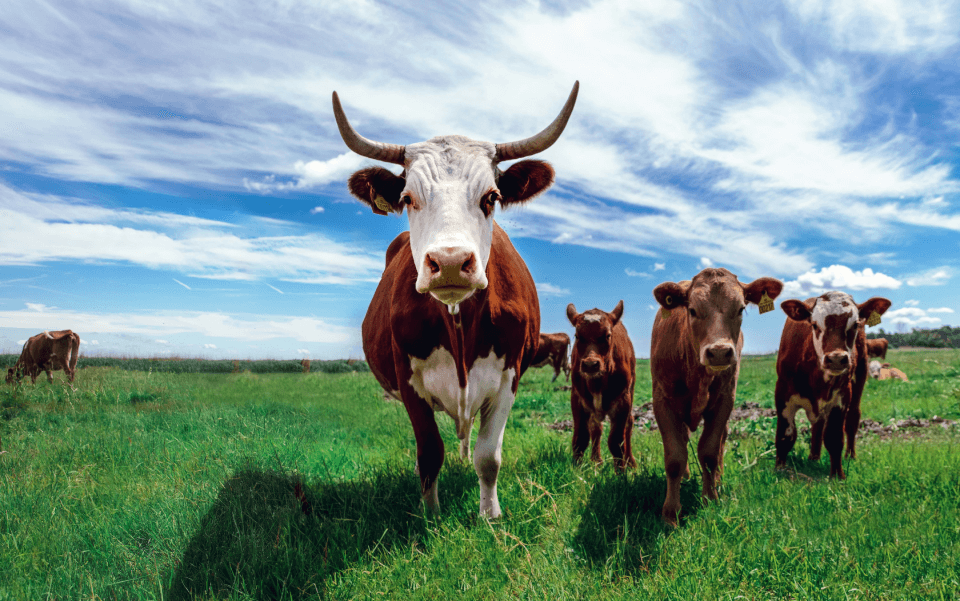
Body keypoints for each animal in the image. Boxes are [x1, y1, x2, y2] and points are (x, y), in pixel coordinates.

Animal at [334, 83, 576, 516]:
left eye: (491, 197)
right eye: (408, 198)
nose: (448, 262)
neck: (459, 323)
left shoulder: (510, 374)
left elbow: (488, 456)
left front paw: (490, 514)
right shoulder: (407, 379)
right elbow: (430, 452)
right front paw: (430, 514)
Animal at [568, 302, 632, 472]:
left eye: (607, 335)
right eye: (578, 336)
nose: (591, 364)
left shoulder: (623, 401)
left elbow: (616, 441)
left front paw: (621, 473)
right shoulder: (577, 399)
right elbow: (580, 439)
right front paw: (577, 470)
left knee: (629, 426)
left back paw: (631, 462)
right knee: (596, 428)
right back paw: (596, 460)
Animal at [648, 268, 784, 524]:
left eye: (740, 308)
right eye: (692, 309)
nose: (719, 352)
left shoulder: (724, 400)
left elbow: (710, 452)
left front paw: (710, 499)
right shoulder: (662, 400)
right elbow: (675, 457)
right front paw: (671, 513)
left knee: (721, 442)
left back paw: (718, 481)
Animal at [772, 290, 892, 478]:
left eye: (855, 324)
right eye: (814, 325)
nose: (836, 358)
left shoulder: (841, 396)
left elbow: (834, 438)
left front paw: (837, 475)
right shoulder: (783, 393)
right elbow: (785, 436)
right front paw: (780, 469)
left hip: (860, 376)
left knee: (852, 418)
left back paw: (850, 455)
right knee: (818, 425)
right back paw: (813, 457)